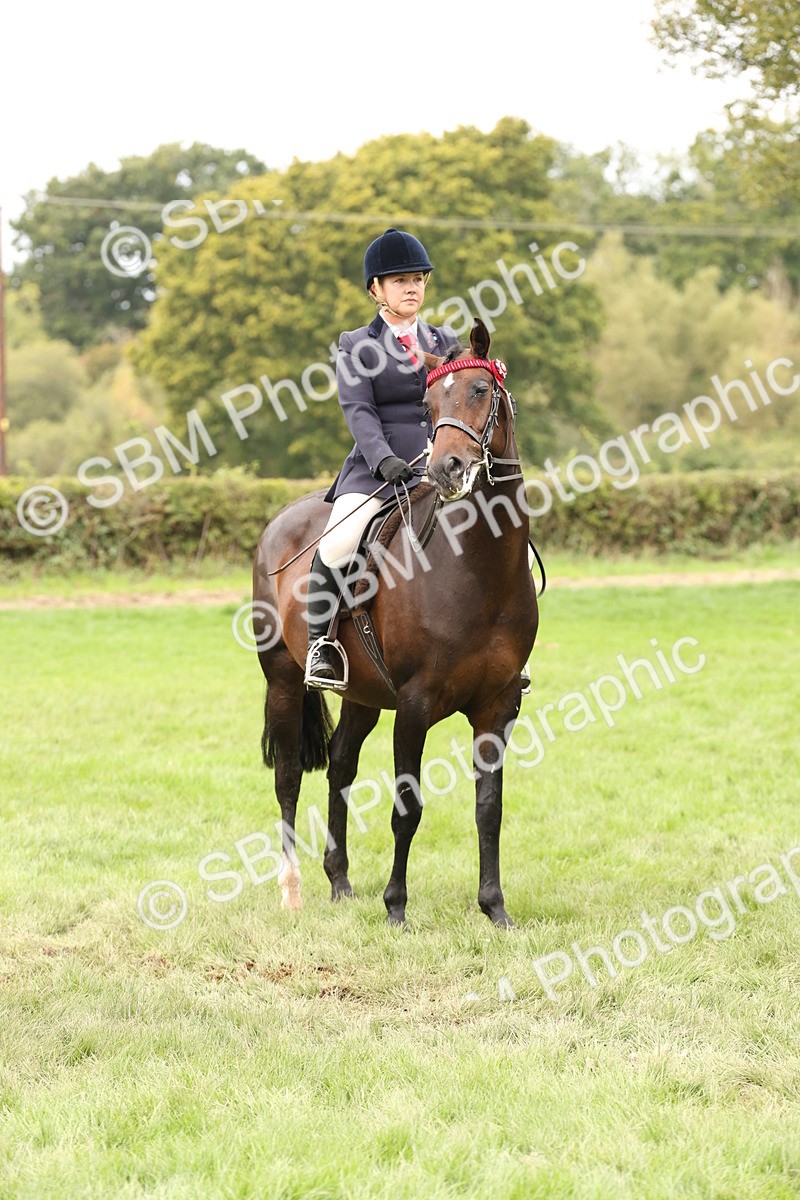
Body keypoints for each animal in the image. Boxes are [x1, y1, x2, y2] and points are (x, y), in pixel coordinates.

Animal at [251, 317, 539, 927]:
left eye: (481, 390)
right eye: (427, 405)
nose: (445, 469)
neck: (477, 568)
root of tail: (283, 517)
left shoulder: (498, 704)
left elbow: (489, 807)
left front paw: (495, 909)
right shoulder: (414, 703)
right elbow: (407, 807)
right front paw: (396, 908)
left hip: (361, 693)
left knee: (340, 766)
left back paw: (339, 882)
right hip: (283, 679)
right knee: (288, 777)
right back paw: (292, 890)